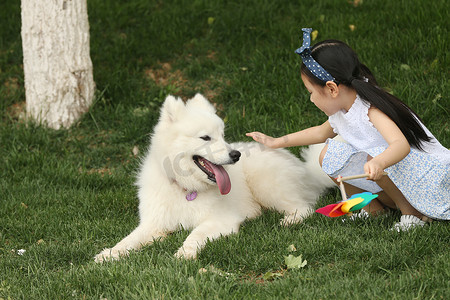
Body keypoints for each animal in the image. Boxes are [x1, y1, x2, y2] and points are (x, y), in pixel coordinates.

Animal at [95, 95, 334, 262]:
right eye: (205, 137)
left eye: (222, 135)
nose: (235, 155)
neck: (186, 189)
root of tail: (306, 170)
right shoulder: (153, 224)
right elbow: (129, 240)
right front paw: (109, 254)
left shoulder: (220, 220)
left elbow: (195, 235)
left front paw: (184, 252)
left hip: (265, 183)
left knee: (304, 207)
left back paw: (289, 220)